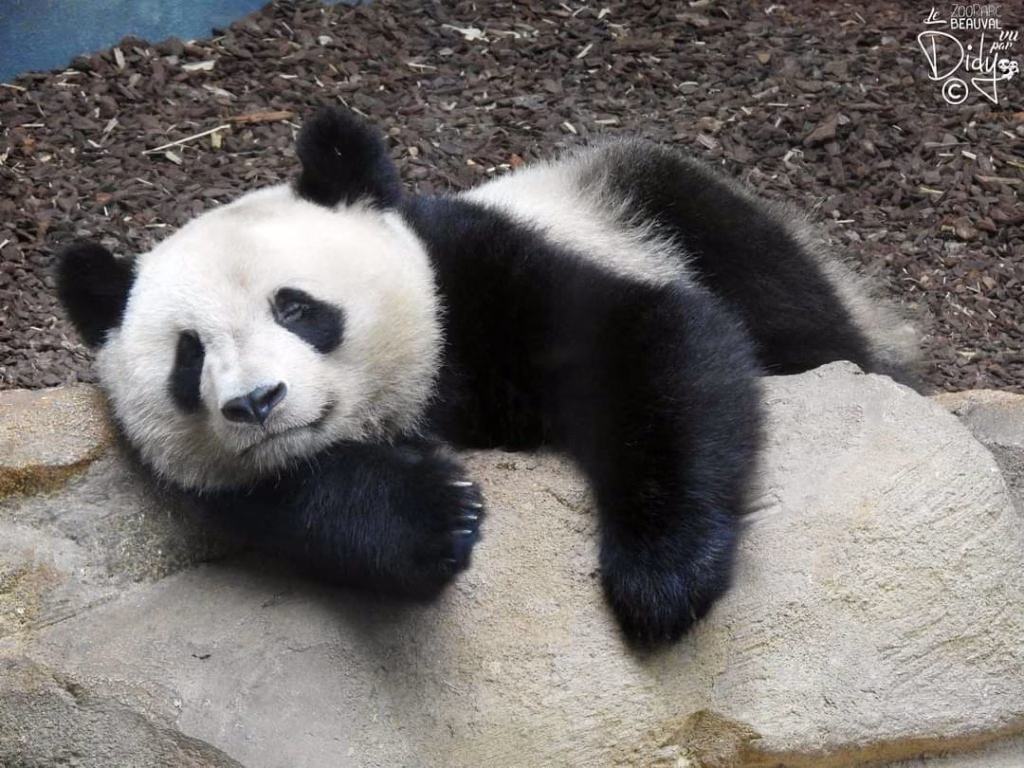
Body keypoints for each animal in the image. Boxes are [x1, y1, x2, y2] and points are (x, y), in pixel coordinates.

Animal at [56, 108, 917, 647]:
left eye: (296, 308)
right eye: (189, 356)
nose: (258, 402)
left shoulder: (479, 274)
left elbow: (655, 342)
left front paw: (661, 579)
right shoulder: (227, 477)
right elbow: (294, 497)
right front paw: (436, 515)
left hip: (647, 200)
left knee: (783, 297)